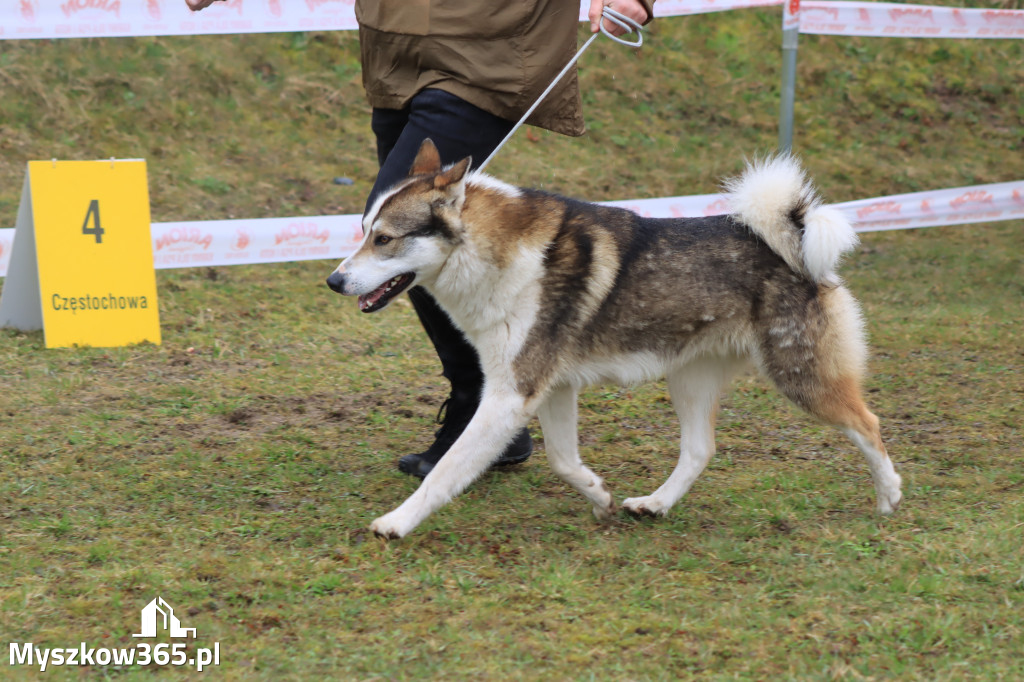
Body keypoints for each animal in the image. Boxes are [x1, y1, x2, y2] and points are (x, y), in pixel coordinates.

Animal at [323, 140, 901, 540]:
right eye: (363, 230)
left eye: (384, 239)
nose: (333, 281)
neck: (490, 254)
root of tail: (795, 238)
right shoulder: (550, 390)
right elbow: (562, 460)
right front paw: (598, 496)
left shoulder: (511, 395)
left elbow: (443, 474)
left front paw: (397, 522)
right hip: (689, 380)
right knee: (699, 450)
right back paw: (656, 504)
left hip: (800, 376)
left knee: (868, 424)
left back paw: (889, 497)